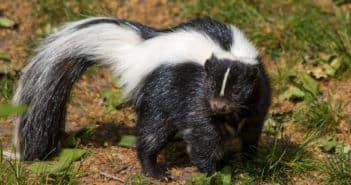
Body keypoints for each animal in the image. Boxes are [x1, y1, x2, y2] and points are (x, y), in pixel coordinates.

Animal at [12, 17, 272, 178]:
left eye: (237, 90)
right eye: (210, 84)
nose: (218, 106)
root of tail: (138, 51)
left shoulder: (256, 102)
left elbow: (251, 132)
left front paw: (250, 159)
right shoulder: (194, 94)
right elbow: (203, 136)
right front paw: (212, 172)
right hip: (159, 94)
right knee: (152, 134)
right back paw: (154, 171)